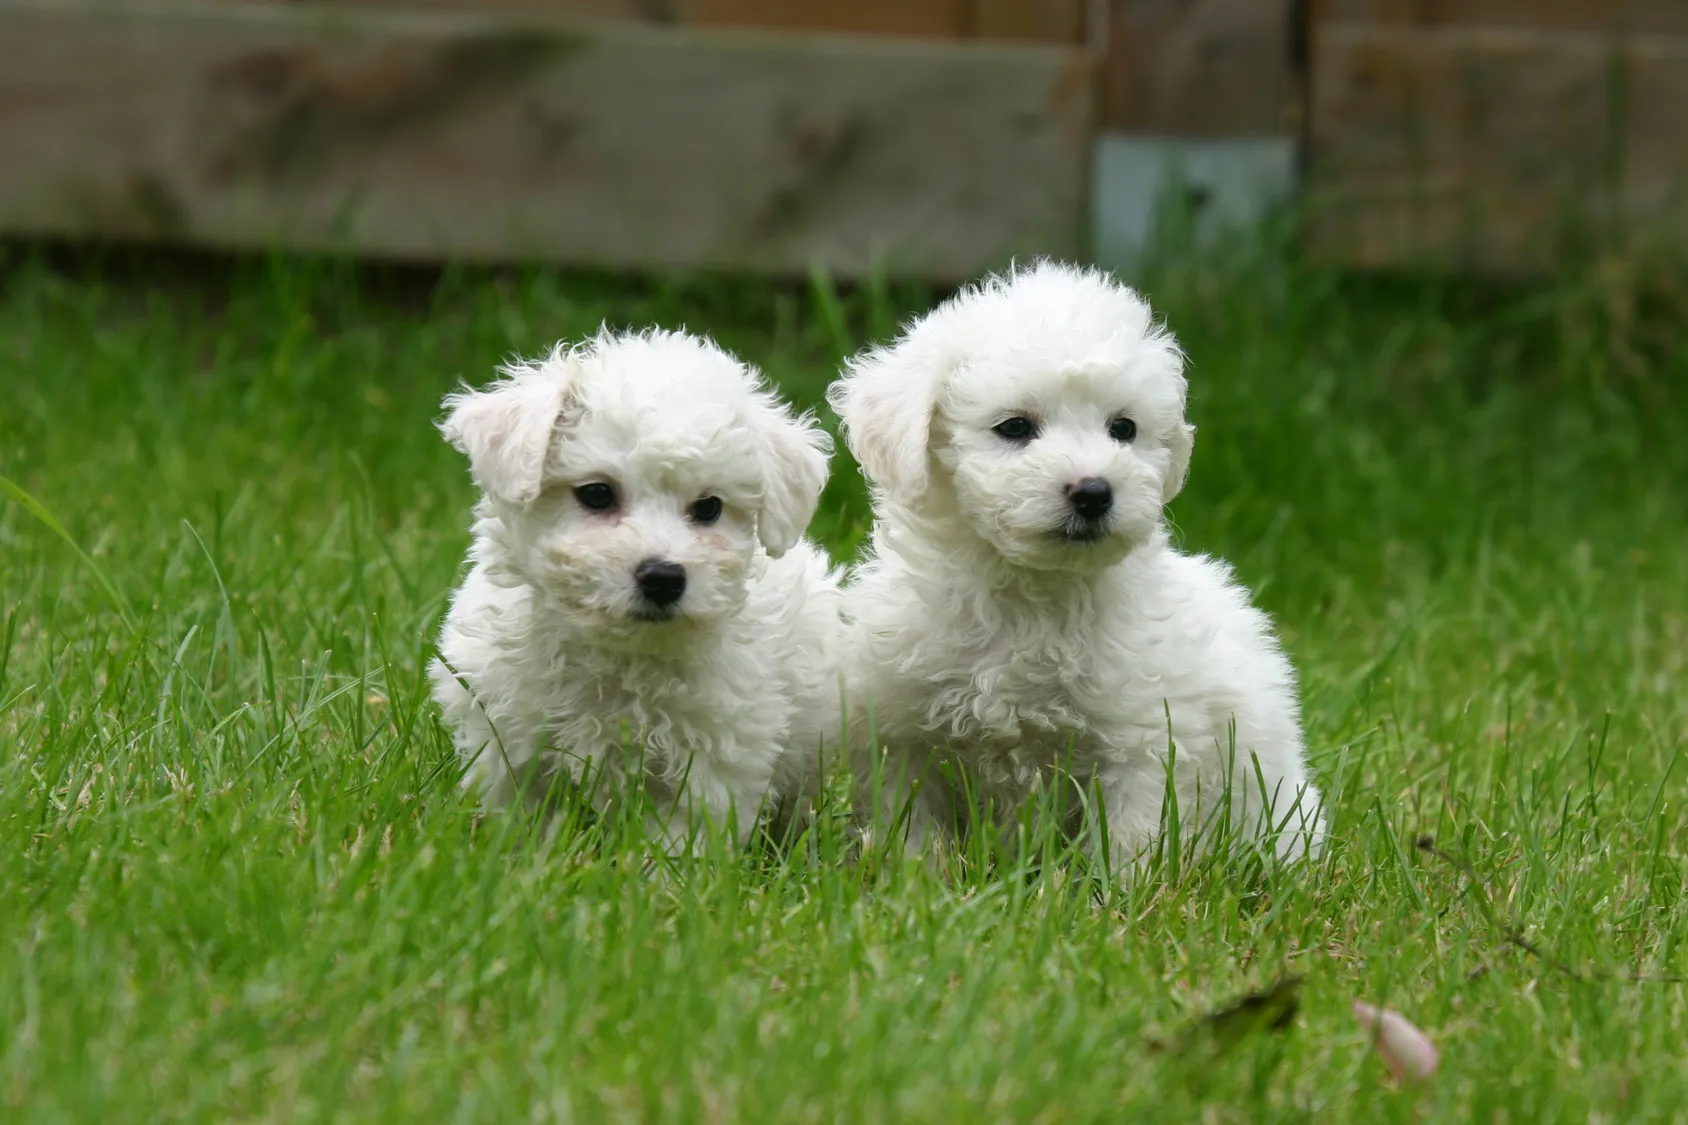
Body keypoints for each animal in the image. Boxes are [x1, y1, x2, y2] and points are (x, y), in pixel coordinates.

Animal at [432, 329, 844, 844]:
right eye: (597, 494)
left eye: (709, 507)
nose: (664, 578)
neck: (620, 655)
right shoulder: (509, 740)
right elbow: (523, 819)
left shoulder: (713, 764)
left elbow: (684, 840)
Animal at [827, 260, 1316, 864]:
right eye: (1014, 426)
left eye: (1123, 428)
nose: (1094, 492)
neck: (1028, 593)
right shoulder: (901, 737)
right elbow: (913, 835)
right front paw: (915, 879)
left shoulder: (1137, 740)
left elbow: (1130, 841)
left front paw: (1127, 890)